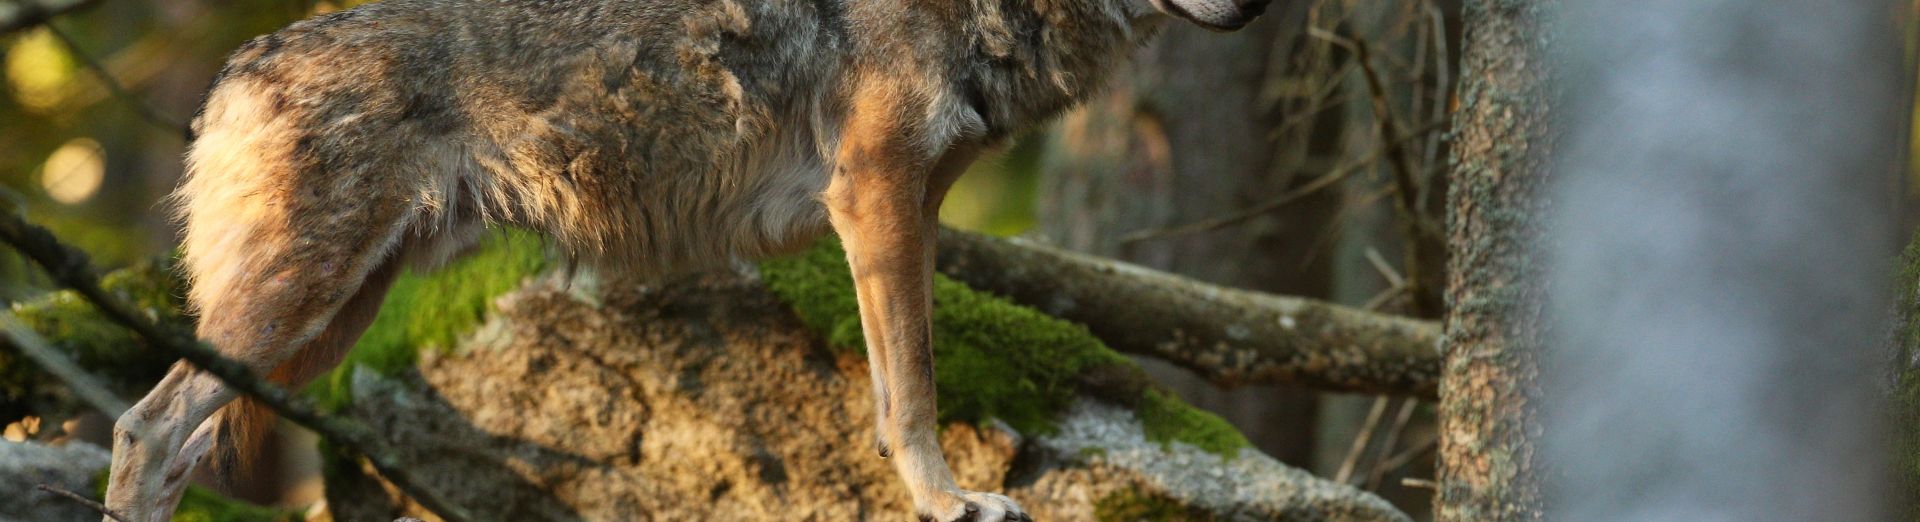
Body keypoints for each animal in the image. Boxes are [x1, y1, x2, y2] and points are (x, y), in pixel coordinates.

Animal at [103, 0, 1268, 519]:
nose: (1258, 8)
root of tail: (237, 67)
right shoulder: (876, 200)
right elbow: (913, 395)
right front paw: (951, 505)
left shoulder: (909, 211)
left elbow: (897, 384)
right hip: (300, 310)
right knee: (142, 426)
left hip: (317, 333)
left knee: (175, 439)